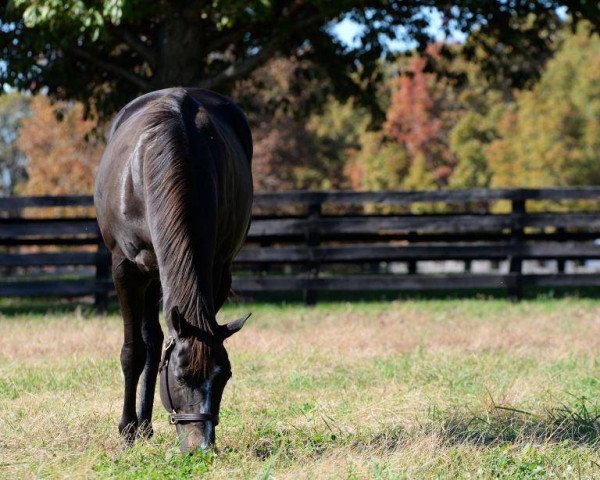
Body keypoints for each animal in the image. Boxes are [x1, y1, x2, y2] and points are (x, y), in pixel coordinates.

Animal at [94, 88, 253, 452]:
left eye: (224, 376)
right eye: (180, 376)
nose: (201, 447)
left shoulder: (216, 271)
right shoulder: (124, 269)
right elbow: (132, 351)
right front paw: (126, 429)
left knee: (156, 340)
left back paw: (146, 423)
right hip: (148, 274)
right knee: (149, 342)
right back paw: (138, 425)